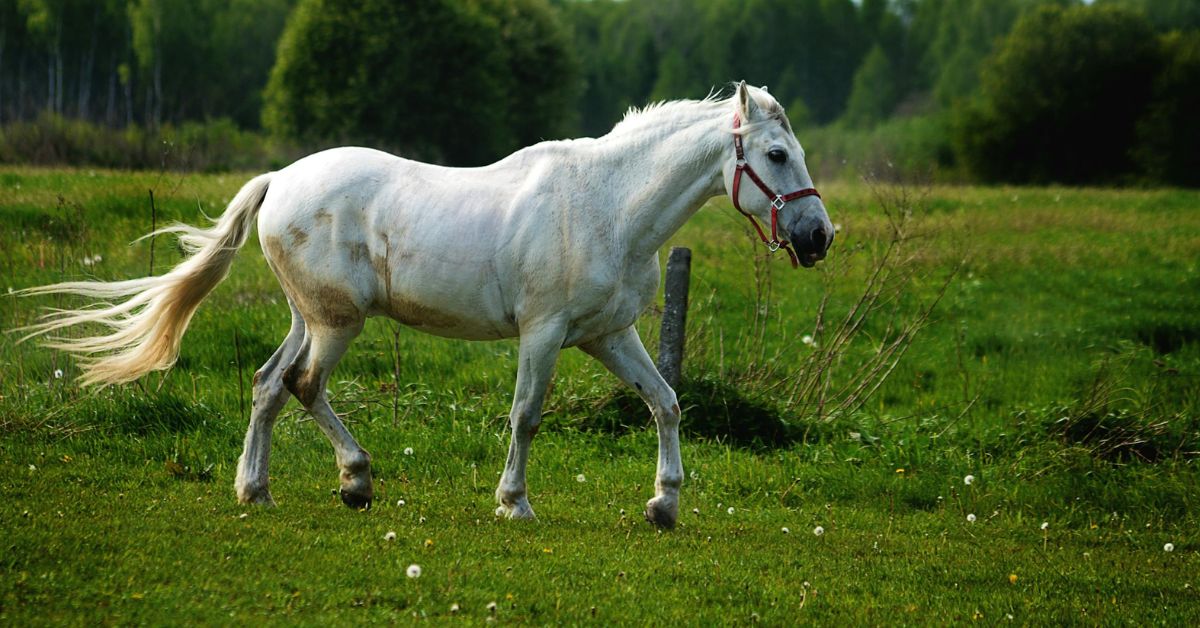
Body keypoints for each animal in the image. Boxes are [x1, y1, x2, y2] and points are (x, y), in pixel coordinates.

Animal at [20, 81, 833, 529]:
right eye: (776, 155)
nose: (819, 237)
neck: (606, 205)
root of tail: (280, 180)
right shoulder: (543, 334)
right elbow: (526, 416)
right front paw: (514, 503)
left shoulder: (610, 335)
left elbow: (664, 402)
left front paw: (664, 505)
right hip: (337, 323)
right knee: (301, 385)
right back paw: (354, 480)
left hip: (310, 317)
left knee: (267, 385)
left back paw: (257, 489)